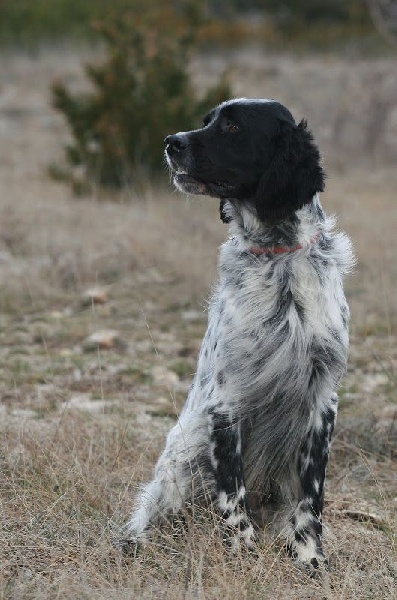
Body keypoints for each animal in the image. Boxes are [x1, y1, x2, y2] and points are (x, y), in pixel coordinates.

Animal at [119, 98, 354, 572]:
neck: (278, 256)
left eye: (231, 127)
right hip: (181, 461)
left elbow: (311, 498)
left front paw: (310, 558)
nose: (171, 142)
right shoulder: (226, 402)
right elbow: (232, 495)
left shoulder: (323, 399)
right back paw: (136, 543)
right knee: (150, 512)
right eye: (207, 120)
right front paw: (242, 554)